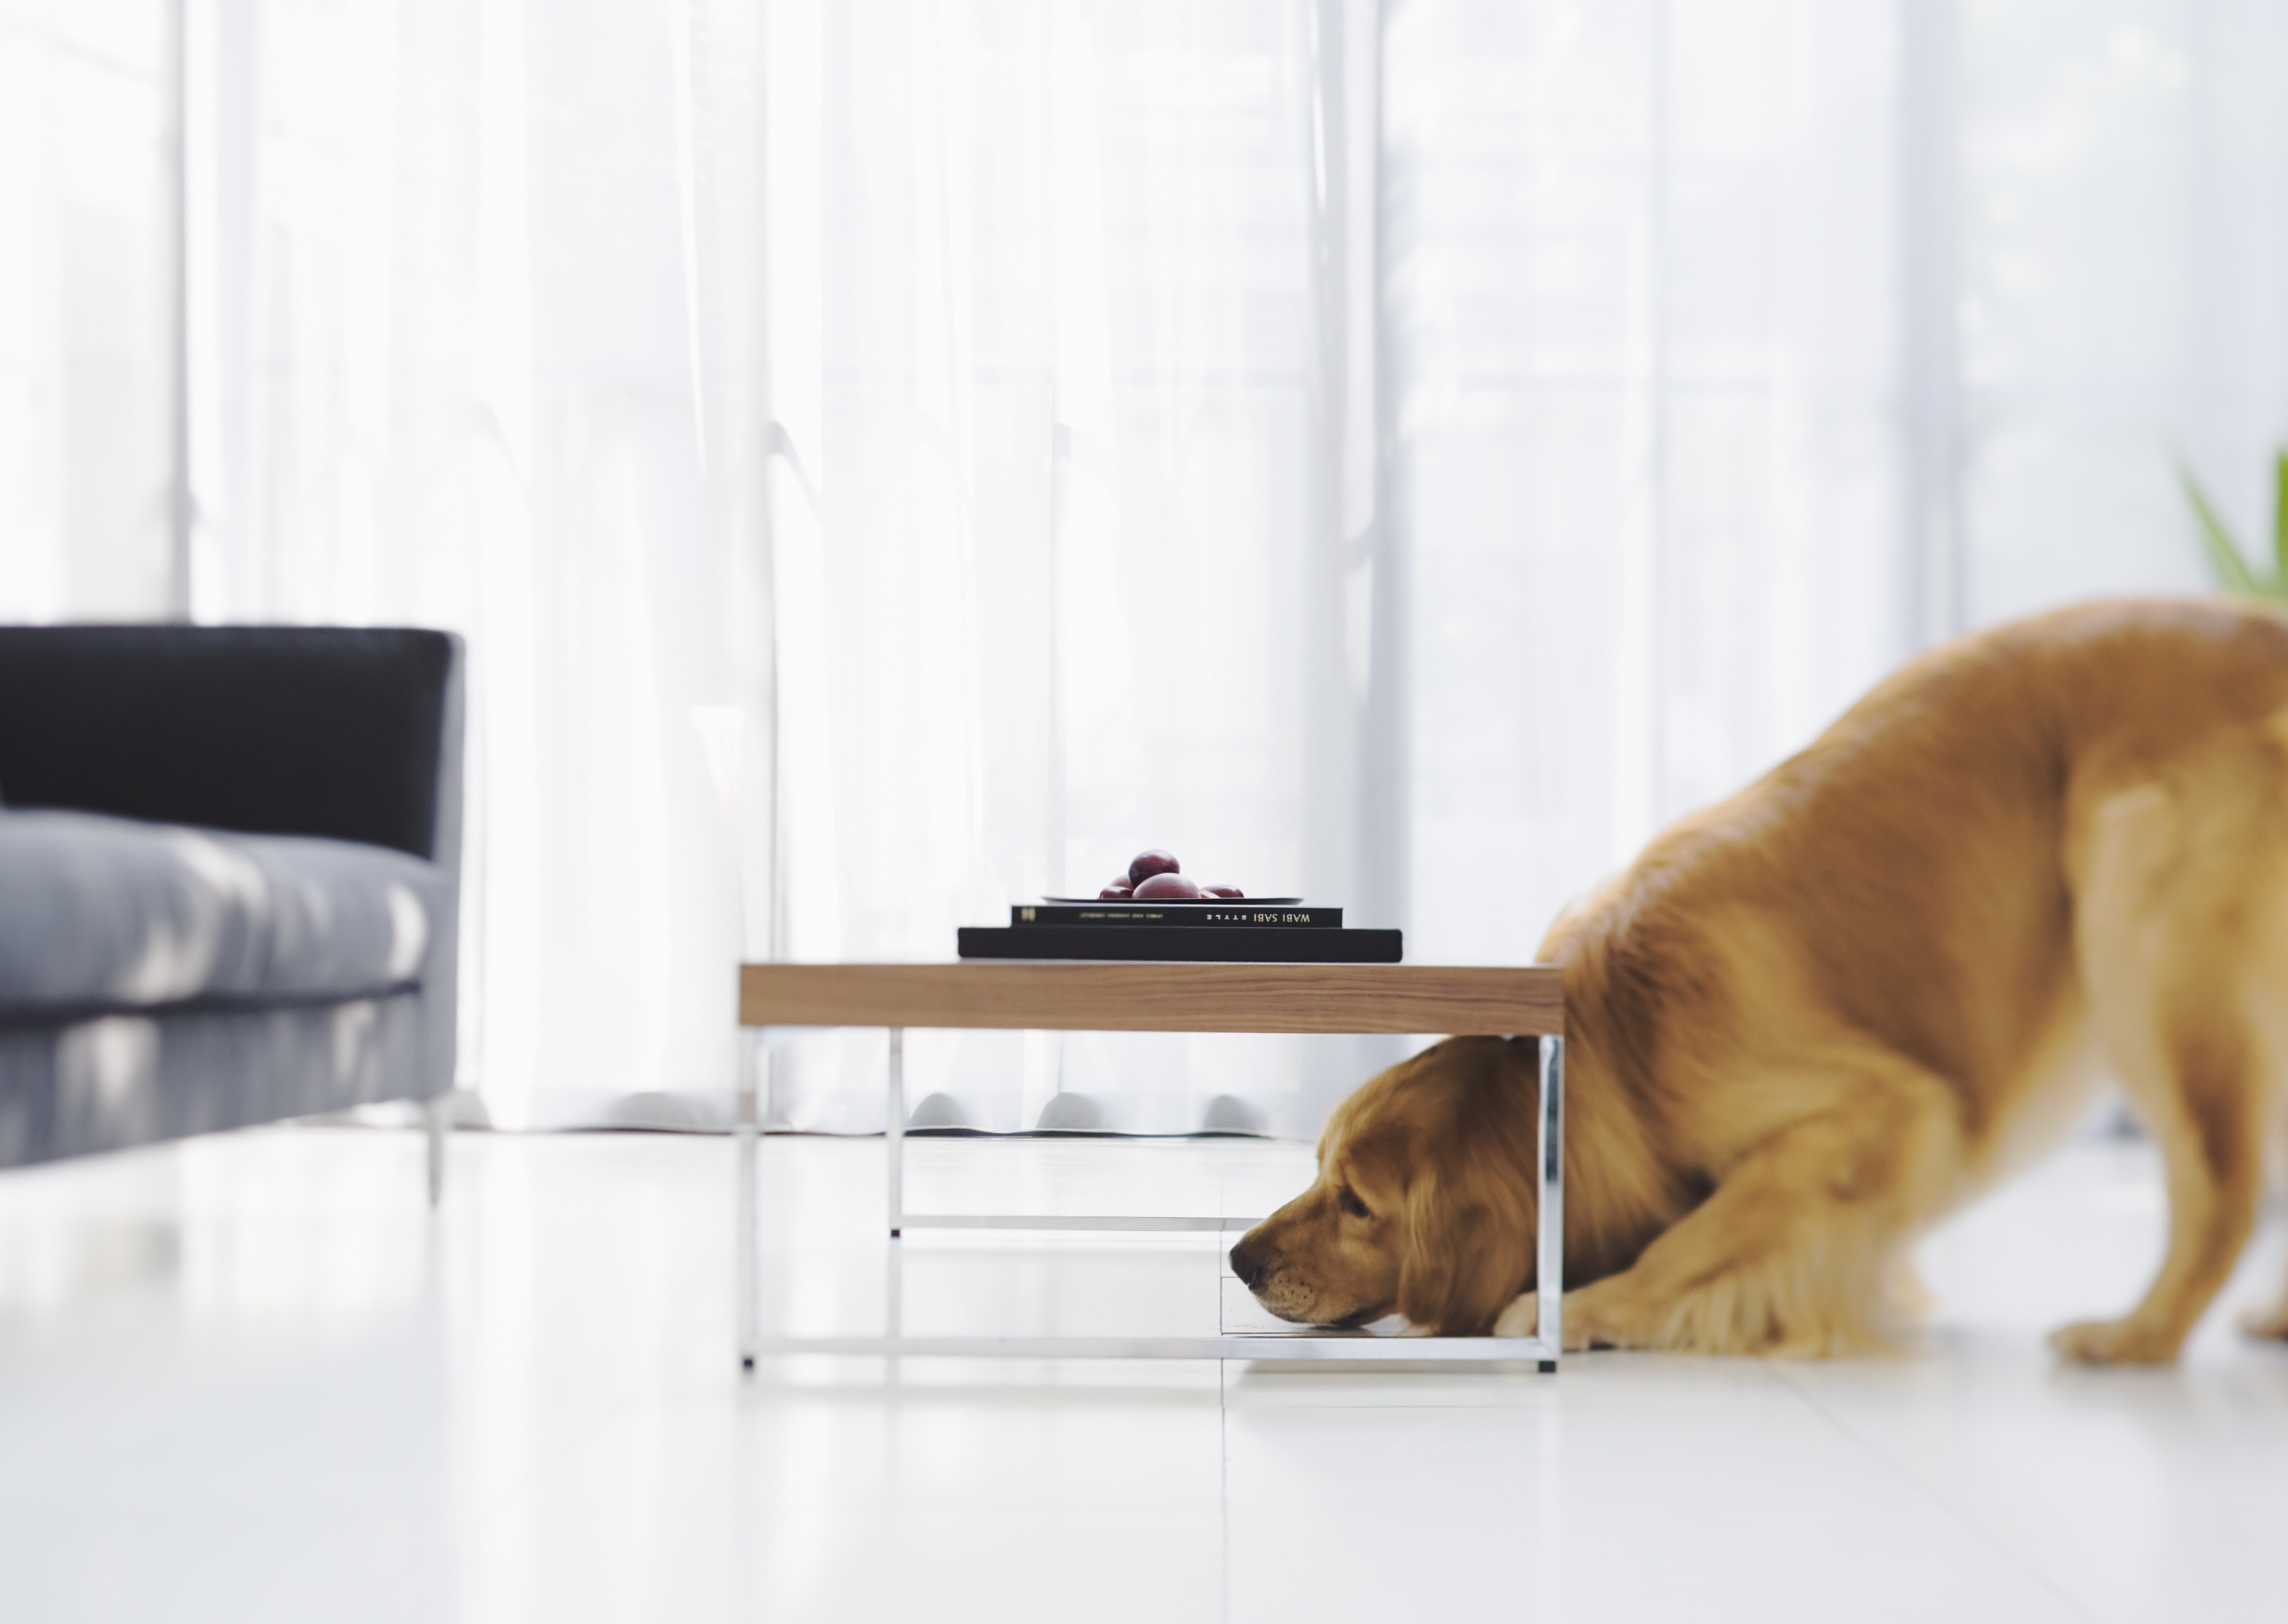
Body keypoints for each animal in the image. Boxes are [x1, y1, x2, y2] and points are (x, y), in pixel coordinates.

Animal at [1244, 603, 2288, 1363]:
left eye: (1357, 1204)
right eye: (1316, 1169)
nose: (1238, 1258)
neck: (1626, 1039)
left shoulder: (1883, 1113)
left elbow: (1697, 1234)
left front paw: (1583, 1307)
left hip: (2139, 938)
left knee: (2221, 1195)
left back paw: (2136, 1336)